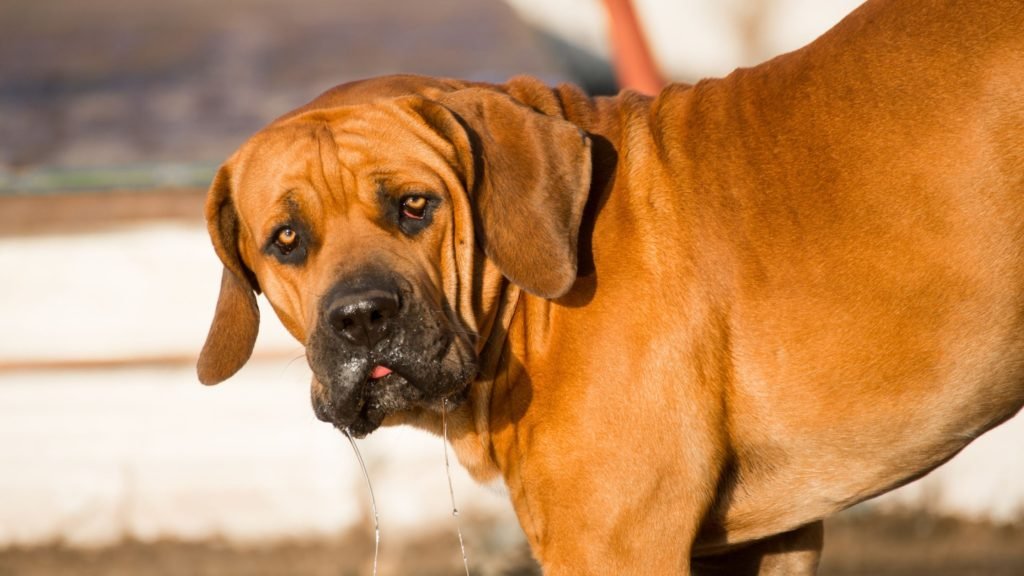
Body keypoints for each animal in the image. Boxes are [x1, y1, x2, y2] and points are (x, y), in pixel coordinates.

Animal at [197, 0, 1024, 569]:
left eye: (414, 206)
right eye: (287, 239)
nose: (362, 316)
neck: (524, 312)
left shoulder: (613, 543)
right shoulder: (761, 541)